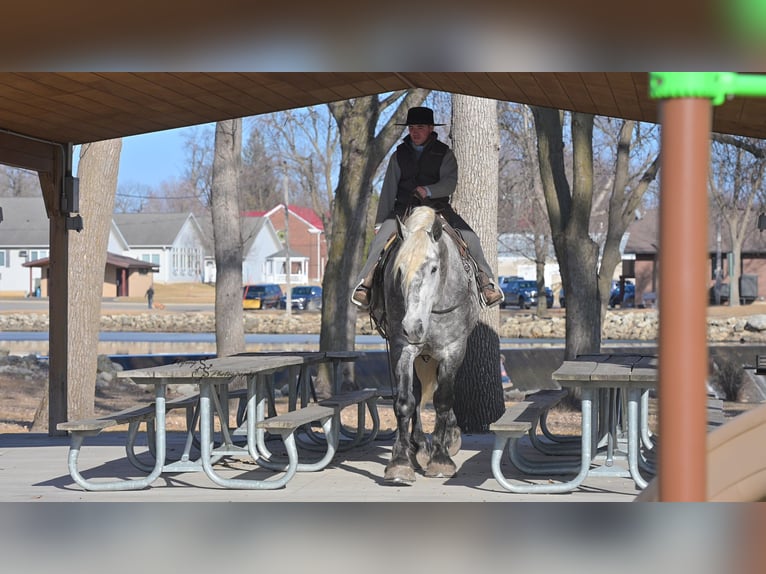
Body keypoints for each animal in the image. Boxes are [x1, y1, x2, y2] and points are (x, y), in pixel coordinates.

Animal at [378, 205, 480, 484]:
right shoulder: (402, 348)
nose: (413, 327)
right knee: (416, 395)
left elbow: (443, 399)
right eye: (399, 270)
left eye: (434, 268)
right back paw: (418, 446)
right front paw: (400, 463)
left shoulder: (453, 350)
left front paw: (441, 459)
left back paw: (443, 440)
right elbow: (405, 402)